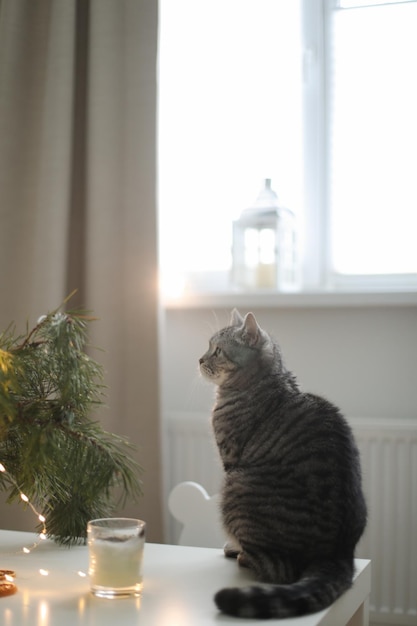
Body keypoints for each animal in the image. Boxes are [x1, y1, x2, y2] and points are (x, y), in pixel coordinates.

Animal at [198, 310, 364, 616]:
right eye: (208, 347)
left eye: (217, 350)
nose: (200, 360)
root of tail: (338, 553)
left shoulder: (230, 457)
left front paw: (235, 548)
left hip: (236, 486)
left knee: (276, 568)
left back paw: (241, 555)